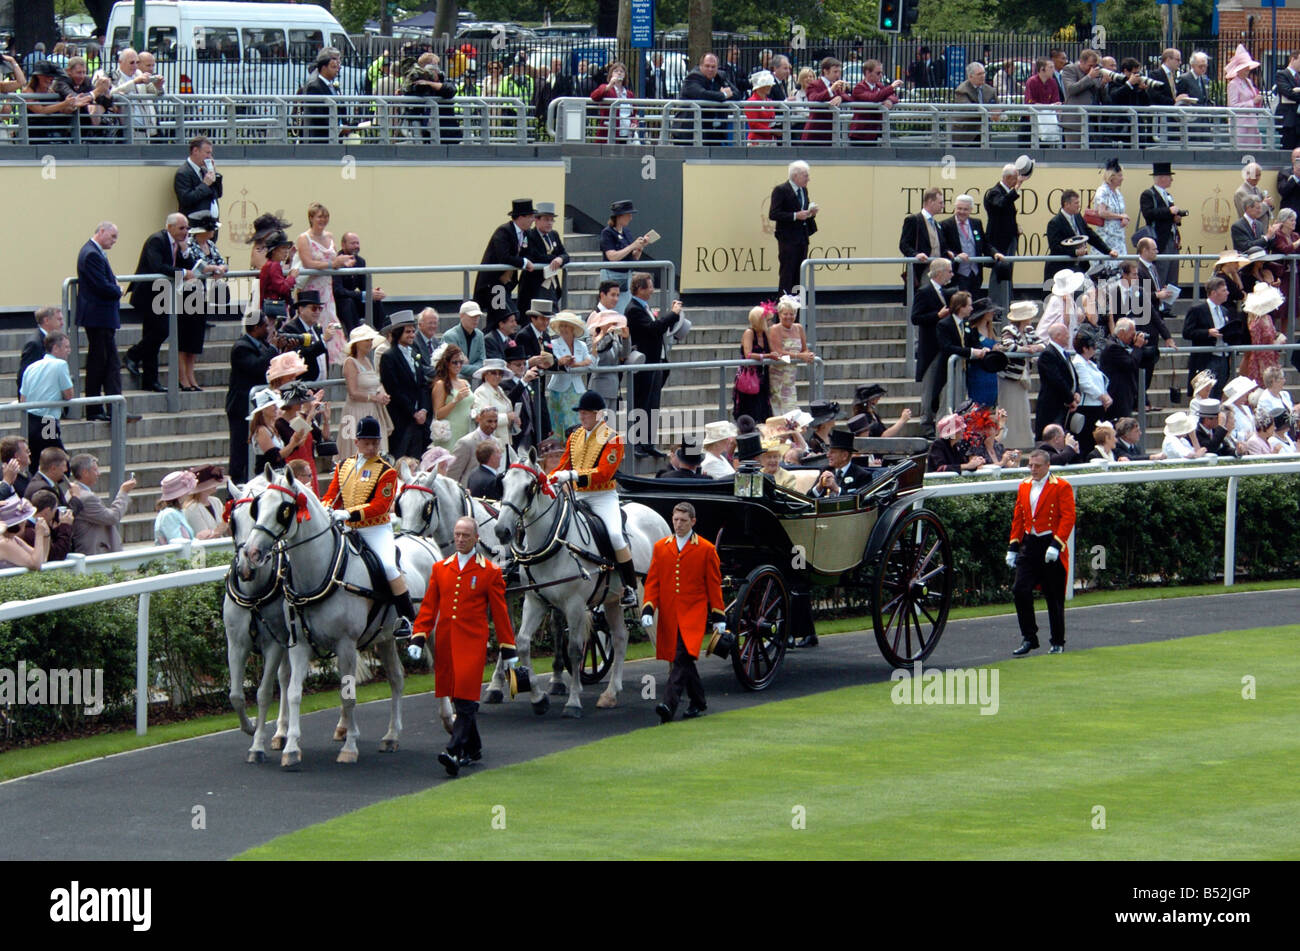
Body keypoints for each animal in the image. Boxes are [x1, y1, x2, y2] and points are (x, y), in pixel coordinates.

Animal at [241, 465, 444, 769]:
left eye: (284, 509)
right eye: (258, 505)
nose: (252, 552)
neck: (323, 571)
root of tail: (421, 539)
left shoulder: (346, 645)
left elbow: (348, 696)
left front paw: (349, 747)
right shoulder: (299, 645)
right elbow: (294, 693)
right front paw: (291, 747)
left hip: (429, 631)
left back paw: (449, 719)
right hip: (384, 638)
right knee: (397, 678)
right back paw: (392, 735)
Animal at [488, 465, 670, 717]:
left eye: (528, 487)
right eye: (502, 484)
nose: (501, 530)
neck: (556, 540)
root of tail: (655, 514)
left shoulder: (574, 604)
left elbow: (574, 649)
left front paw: (573, 702)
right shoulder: (535, 600)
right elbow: (523, 642)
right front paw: (538, 698)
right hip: (612, 599)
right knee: (620, 637)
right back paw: (611, 693)